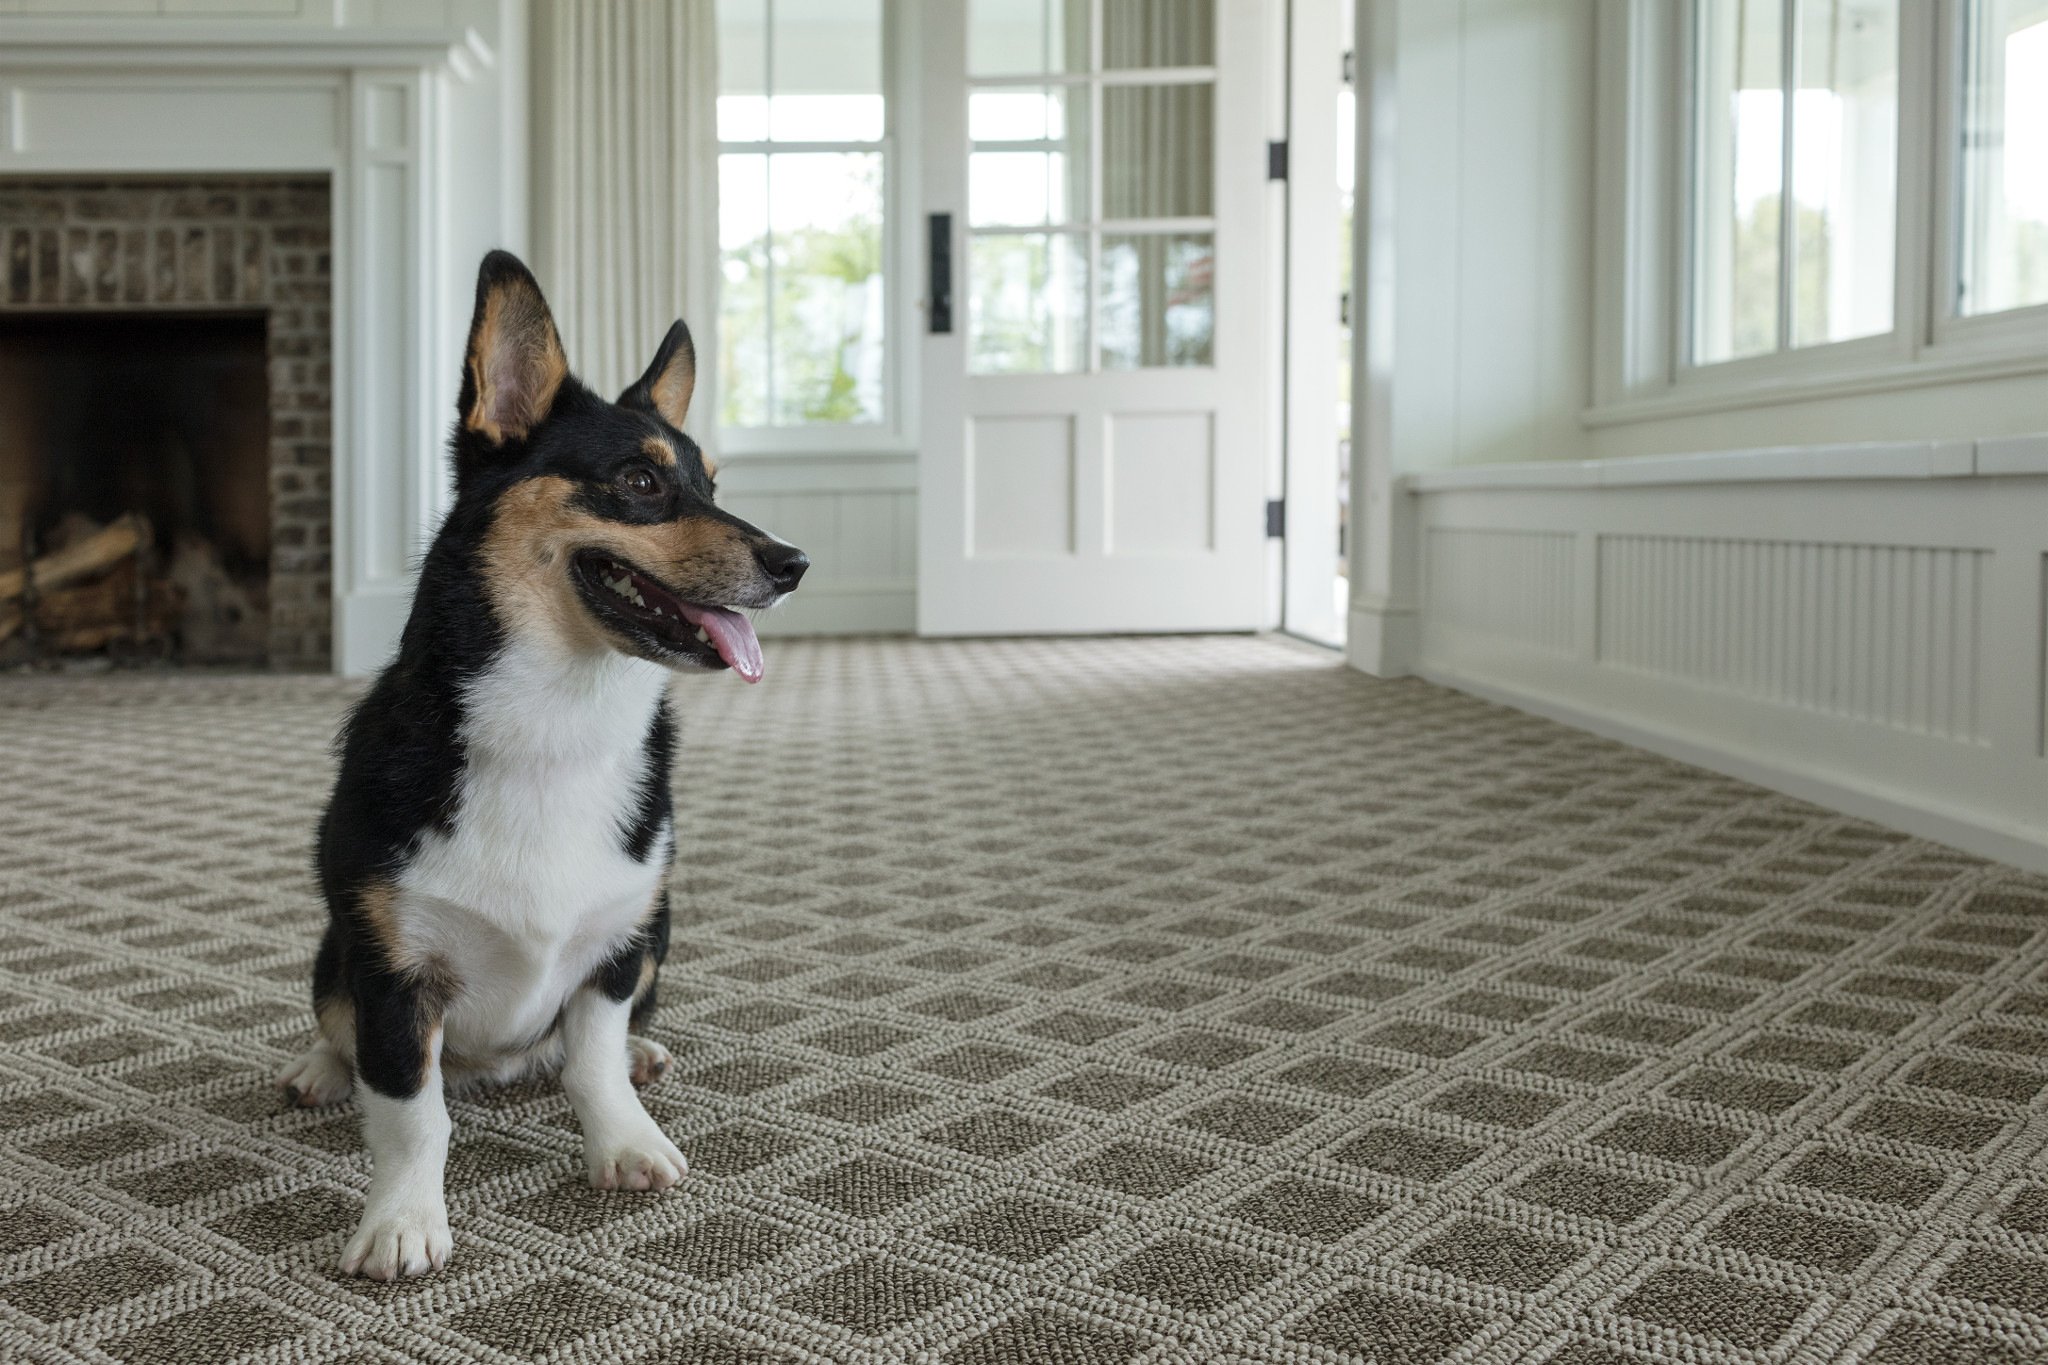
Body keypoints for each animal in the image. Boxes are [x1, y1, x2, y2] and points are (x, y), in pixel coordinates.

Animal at [280, 253, 806, 1285]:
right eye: (640, 479)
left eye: (712, 484)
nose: (793, 561)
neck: (560, 719)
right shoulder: (394, 970)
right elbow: (410, 1113)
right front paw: (401, 1223)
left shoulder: (618, 943)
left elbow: (591, 1060)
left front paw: (626, 1142)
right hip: (334, 946)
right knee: (334, 1019)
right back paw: (322, 1068)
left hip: (661, 928)